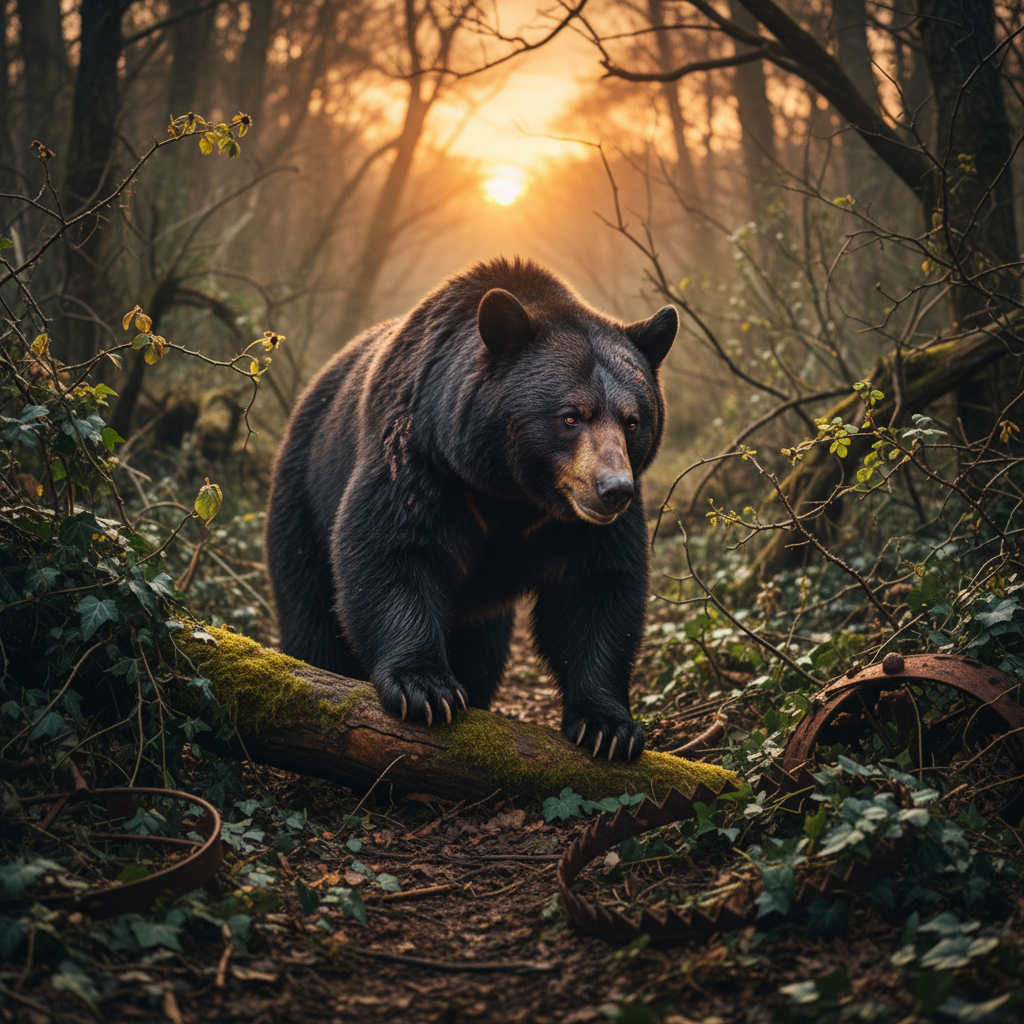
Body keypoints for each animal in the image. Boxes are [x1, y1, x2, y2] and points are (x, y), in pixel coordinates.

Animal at [264, 258, 677, 761]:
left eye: (633, 420)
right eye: (571, 416)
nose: (613, 490)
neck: (509, 489)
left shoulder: (578, 525)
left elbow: (596, 588)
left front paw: (609, 727)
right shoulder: (421, 453)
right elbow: (391, 548)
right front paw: (425, 688)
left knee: (483, 651)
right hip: (304, 489)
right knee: (310, 607)